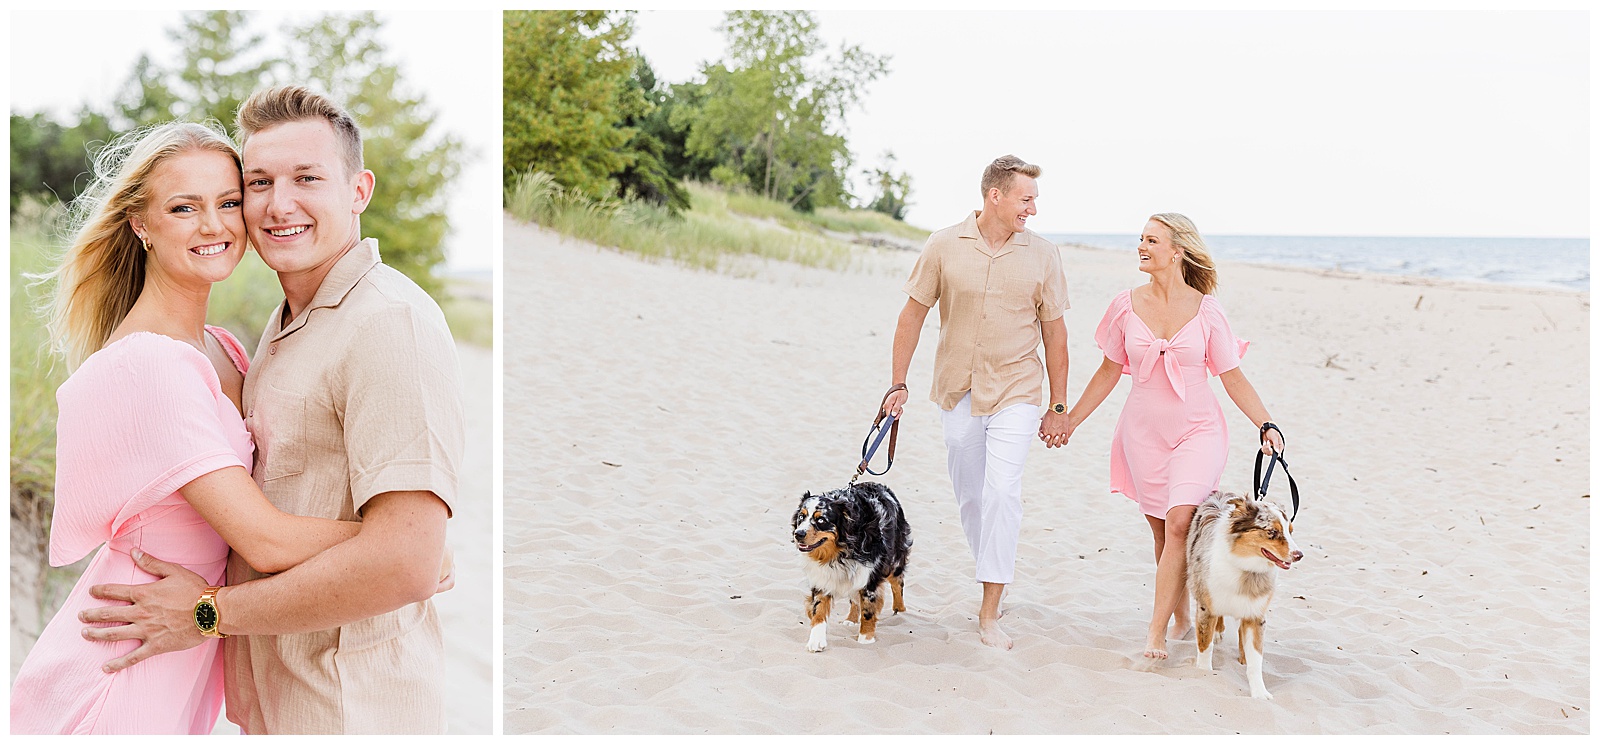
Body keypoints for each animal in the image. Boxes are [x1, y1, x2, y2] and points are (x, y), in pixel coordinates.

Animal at [790, 482, 915, 652]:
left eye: (821, 520)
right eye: (801, 517)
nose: (798, 534)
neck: (839, 552)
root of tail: (878, 484)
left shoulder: (869, 577)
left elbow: (868, 610)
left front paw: (865, 639)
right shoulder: (822, 577)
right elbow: (818, 608)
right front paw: (816, 640)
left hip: (894, 560)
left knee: (898, 584)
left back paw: (900, 611)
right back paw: (851, 619)